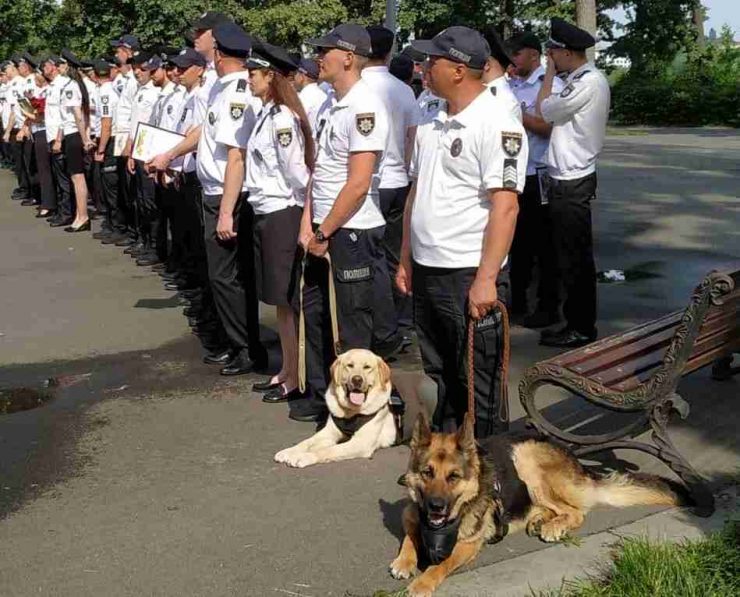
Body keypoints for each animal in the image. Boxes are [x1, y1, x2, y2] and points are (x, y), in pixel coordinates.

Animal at [390, 414, 684, 596]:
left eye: (453, 477)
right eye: (427, 473)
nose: (436, 506)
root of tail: (574, 459)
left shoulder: (468, 545)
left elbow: (441, 564)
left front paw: (423, 582)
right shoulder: (411, 514)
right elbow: (409, 537)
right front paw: (404, 562)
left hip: (525, 457)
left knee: (576, 511)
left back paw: (553, 526)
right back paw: (539, 520)